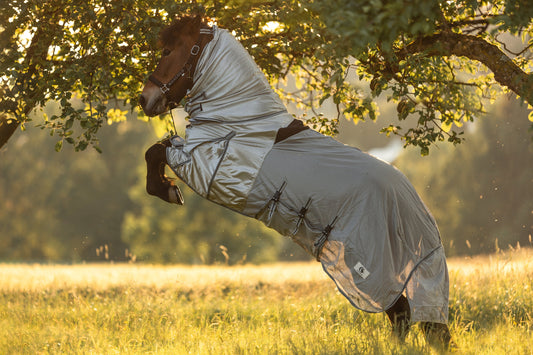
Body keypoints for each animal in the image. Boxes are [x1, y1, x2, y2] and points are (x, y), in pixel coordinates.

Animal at [139, 15, 450, 350]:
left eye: (168, 51)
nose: (144, 99)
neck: (241, 122)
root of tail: (418, 210)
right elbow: (158, 147)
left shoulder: (208, 168)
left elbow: (155, 151)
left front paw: (166, 190)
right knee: (402, 314)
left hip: (370, 266)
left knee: (400, 313)